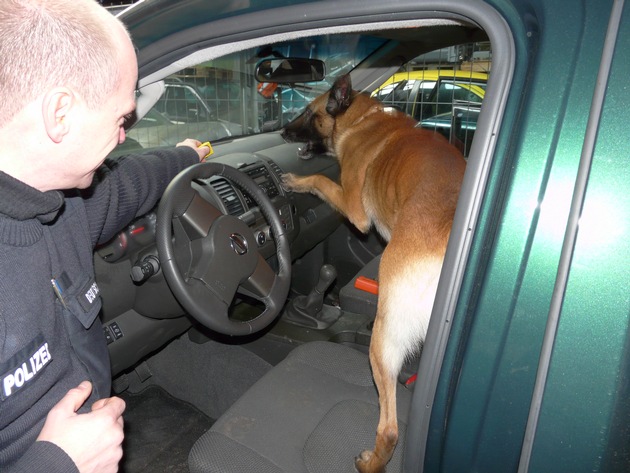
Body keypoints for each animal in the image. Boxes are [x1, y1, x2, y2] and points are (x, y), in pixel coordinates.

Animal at [284, 74, 466, 472]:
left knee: (390, 429)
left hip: (383, 340)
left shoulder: (353, 207)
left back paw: (370, 463)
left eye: (309, 112)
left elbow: (320, 181)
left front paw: (295, 181)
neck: (361, 117)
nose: (281, 131)